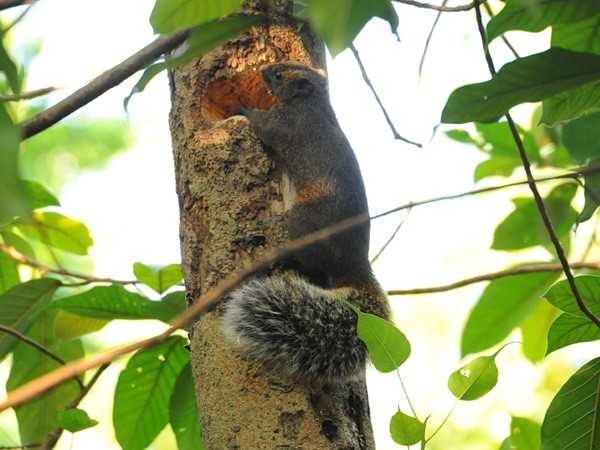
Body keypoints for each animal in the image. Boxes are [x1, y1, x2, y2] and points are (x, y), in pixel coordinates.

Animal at [220, 61, 390, 384]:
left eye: (280, 75)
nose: (262, 70)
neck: (313, 103)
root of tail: (356, 265)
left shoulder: (284, 124)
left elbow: (262, 125)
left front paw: (242, 108)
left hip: (302, 224)